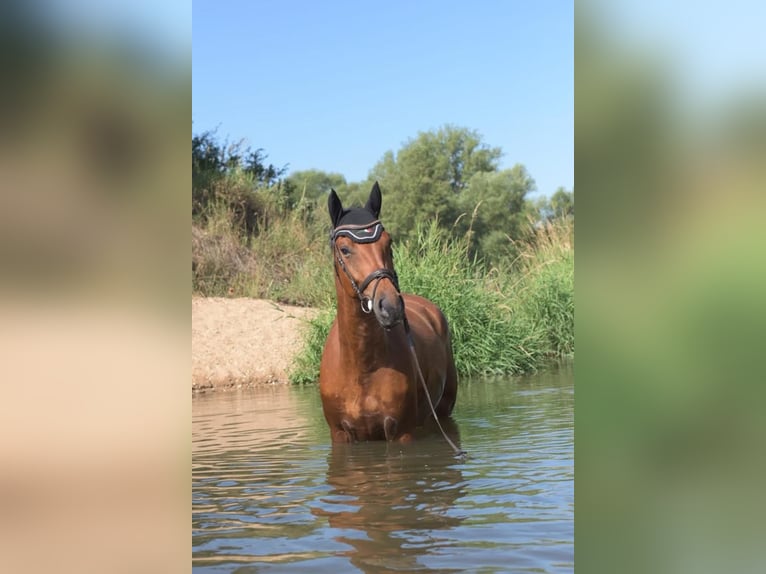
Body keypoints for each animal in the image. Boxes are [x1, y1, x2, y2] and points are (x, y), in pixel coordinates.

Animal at [319, 182, 458, 443]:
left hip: (444, 410)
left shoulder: (400, 433)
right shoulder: (339, 435)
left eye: (389, 242)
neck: (361, 368)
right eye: (345, 249)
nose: (391, 306)